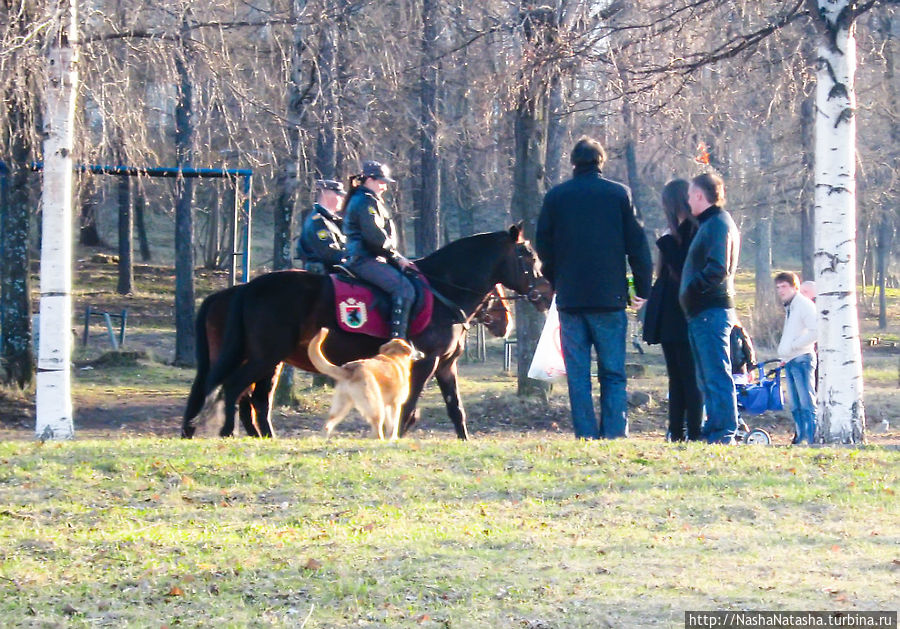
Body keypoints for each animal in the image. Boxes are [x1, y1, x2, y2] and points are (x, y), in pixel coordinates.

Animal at [182, 227, 548, 442]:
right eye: (527, 255)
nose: (545, 293)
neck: (443, 290)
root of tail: (248, 287)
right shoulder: (425, 363)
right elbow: (409, 405)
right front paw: (397, 433)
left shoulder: (446, 365)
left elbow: (455, 407)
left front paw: (464, 440)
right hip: (265, 356)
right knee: (236, 389)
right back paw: (228, 432)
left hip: (268, 359)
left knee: (250, 396)